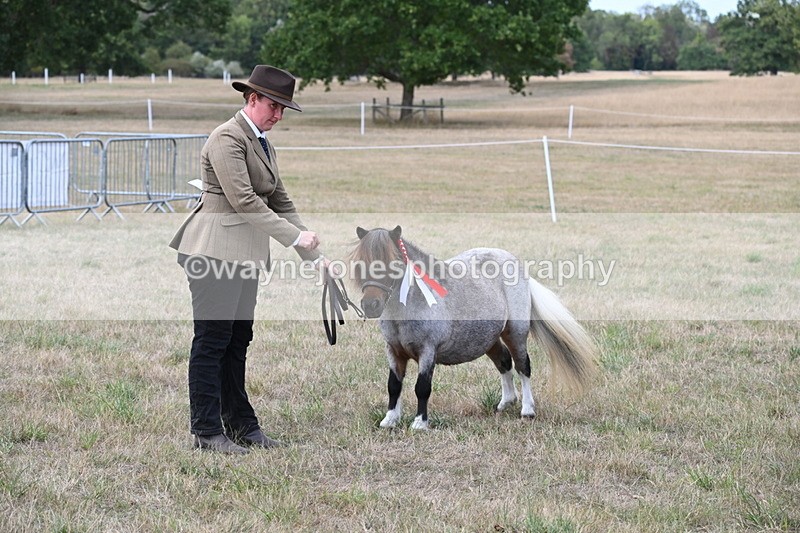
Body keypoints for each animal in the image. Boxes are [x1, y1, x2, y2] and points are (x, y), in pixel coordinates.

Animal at [347, 225, 598, 430]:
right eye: (361, 264)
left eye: (393, 263)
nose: (370, 305)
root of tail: (514, 262)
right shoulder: (394, 351)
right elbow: (394, 385)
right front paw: (390, 420)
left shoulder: (428, 351)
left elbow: (422, 387)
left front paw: (420, 423)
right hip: (488, 338)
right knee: (504, 361)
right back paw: (506, 403)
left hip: (515, 333)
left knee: (522, 366)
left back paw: (527, 410)